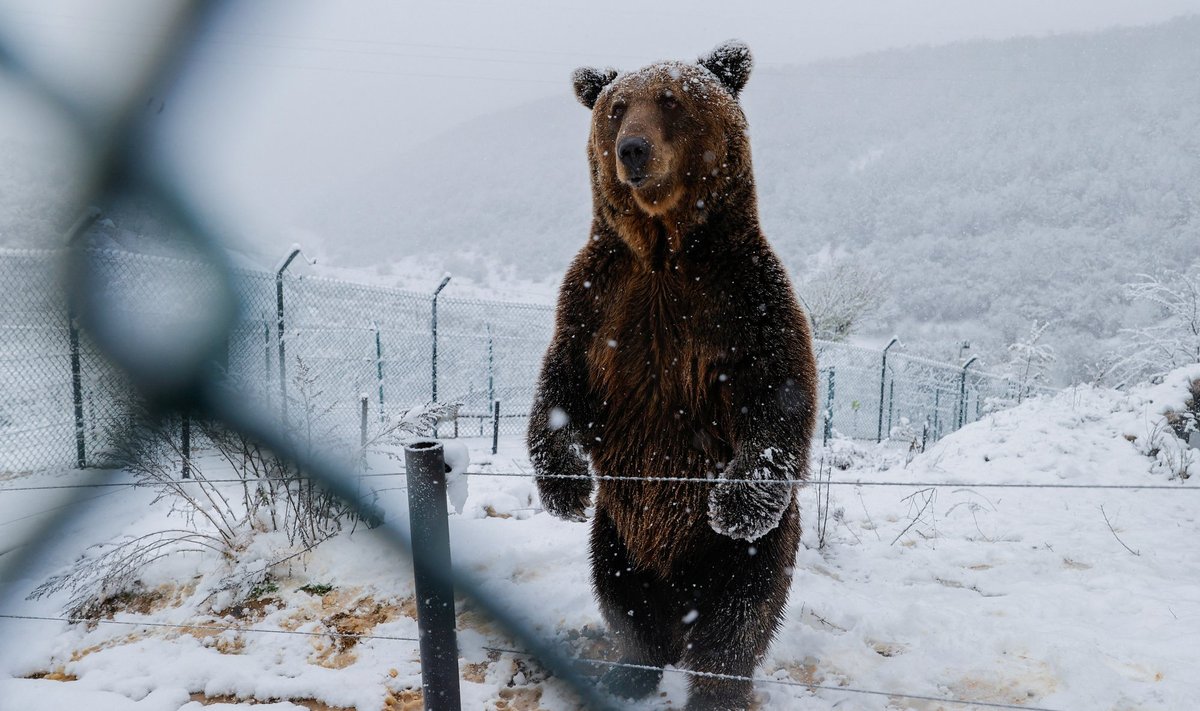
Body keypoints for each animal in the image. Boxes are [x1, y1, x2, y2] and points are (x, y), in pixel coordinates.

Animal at [525, 40, 816, 711]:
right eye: (616, 108)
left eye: (672, 100)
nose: (633, 149)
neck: (664, 250)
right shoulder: (597, 298)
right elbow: (560, 382)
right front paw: (564, 486)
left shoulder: (744, 298)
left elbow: (780, 390)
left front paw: (737, 503)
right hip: (619, 529)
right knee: (623, 597)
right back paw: (628, 671)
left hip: (744, 556)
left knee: (738, 618)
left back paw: (714, 690)